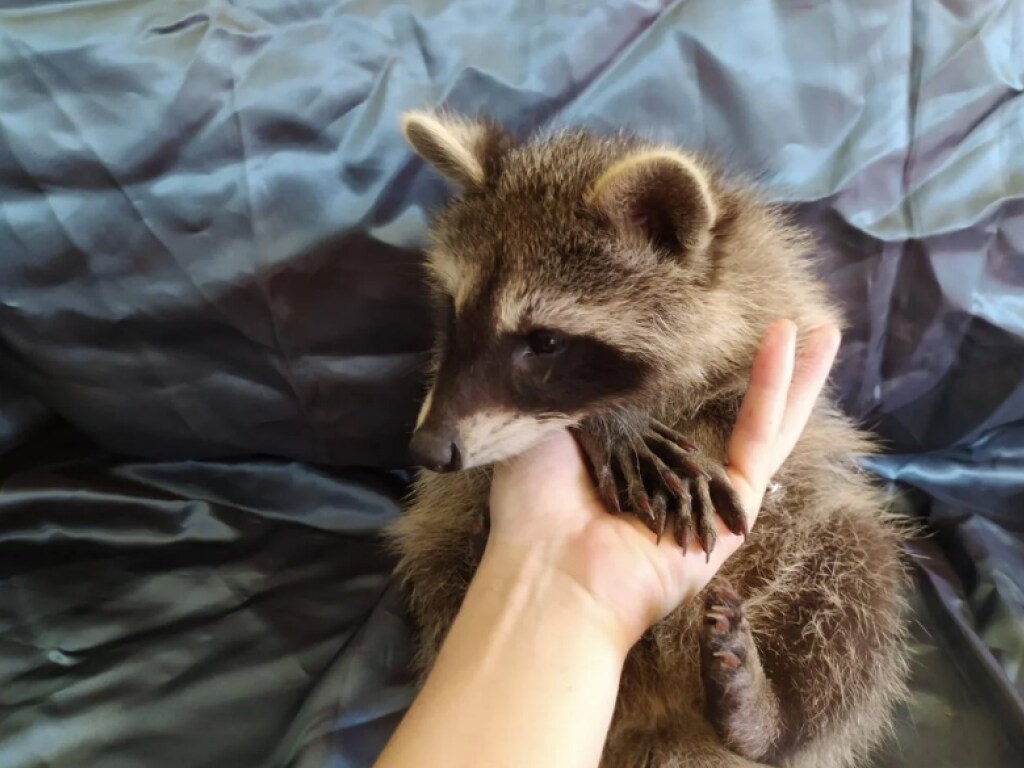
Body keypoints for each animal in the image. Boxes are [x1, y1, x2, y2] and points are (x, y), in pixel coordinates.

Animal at [385, 109, 913, 768]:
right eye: (454, 315)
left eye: (546, 343)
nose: (428, 450)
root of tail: (660, 717)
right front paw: (611, 422)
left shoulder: (779, 305)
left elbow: (759, 402)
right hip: (446, 547)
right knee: (444, 564)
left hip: (826, 545)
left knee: (858, 587)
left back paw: (767, 716)